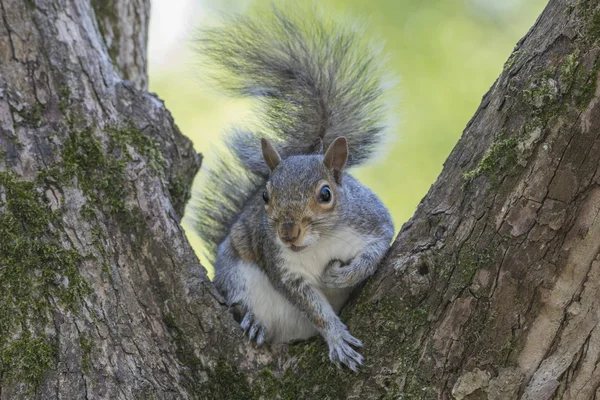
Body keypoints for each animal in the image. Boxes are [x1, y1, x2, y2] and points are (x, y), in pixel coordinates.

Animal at [195, 4, 396, 372]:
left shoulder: (373, 221)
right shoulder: (284, 270)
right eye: (265, 196)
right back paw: (253, 321)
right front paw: (336, 338)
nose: (288, 233)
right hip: (235, 271)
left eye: (326, 194)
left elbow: (374, 253)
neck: (320, 243)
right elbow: (313, 309)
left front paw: (339, 276)